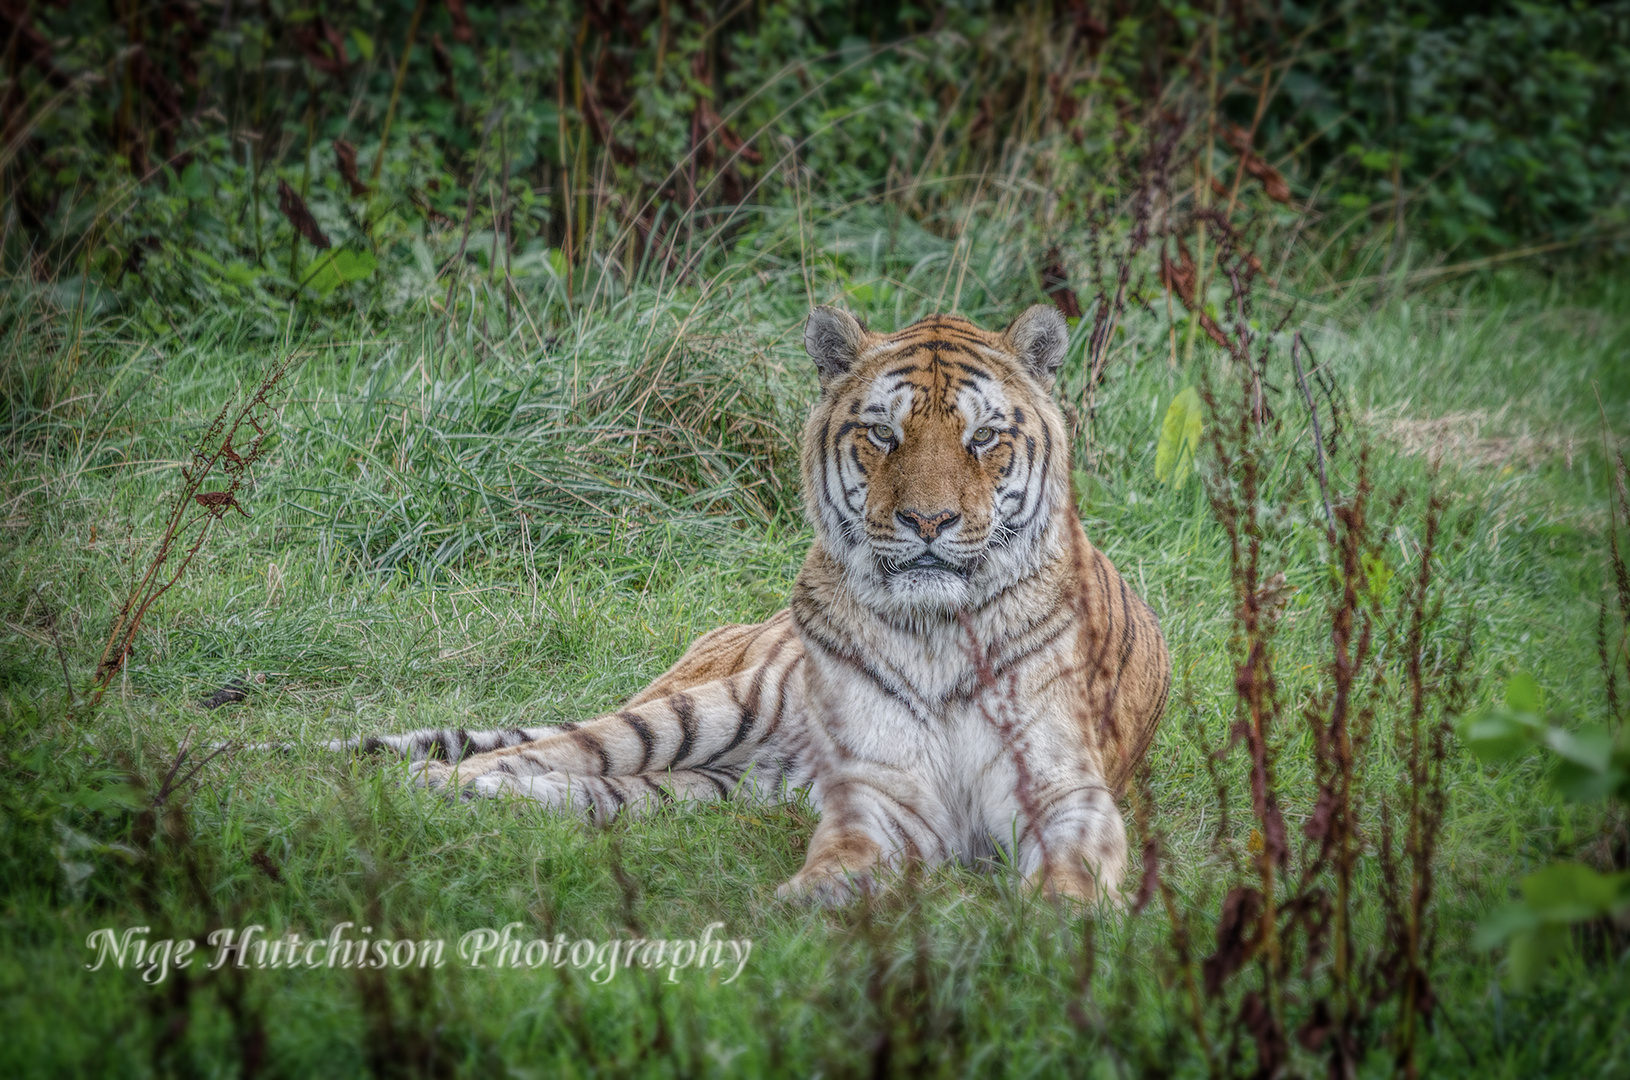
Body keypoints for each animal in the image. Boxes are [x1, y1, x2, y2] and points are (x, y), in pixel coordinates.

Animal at [356, 304, 1173, 905]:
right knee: (549, 749)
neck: (938, 631)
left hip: (704, 788)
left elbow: (1073, 865)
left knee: (591, 789)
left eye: (983, 438)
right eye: (884, 433)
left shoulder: (1064, 788)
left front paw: (1060, 923)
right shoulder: (882, 792)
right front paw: (813, 900)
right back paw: (440, 785)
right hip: (708, 711)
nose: (929, 522)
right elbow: (849, 854)